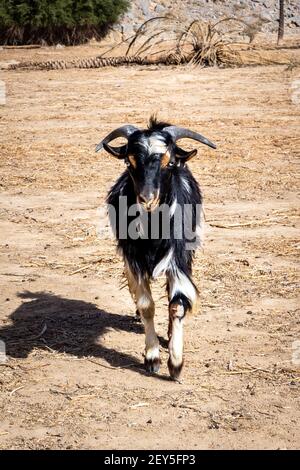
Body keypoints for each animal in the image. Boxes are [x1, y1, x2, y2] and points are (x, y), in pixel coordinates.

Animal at [96, 117, 216, 378]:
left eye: (168, 162)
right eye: (128, 161)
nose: (147, 199)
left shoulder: (178, 258)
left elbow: (177, 304)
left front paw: (176, 362)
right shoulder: (133, 258)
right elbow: (146, 305)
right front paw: (152, 358)